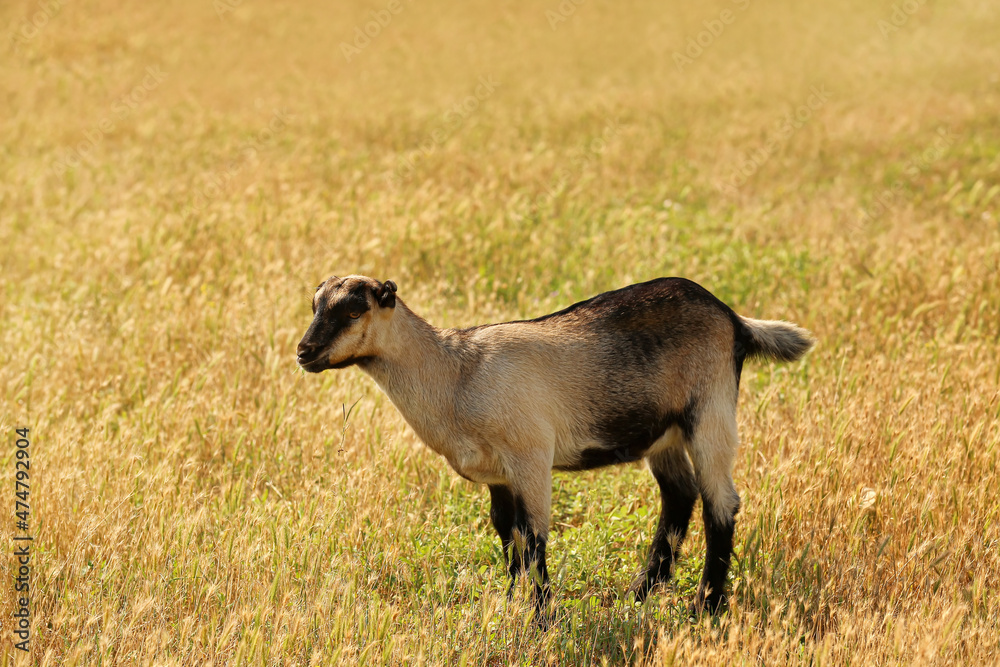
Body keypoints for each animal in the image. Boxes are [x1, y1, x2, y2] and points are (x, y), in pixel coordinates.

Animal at [296, 274, 812, 624]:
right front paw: (510, 606)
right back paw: (638, 595)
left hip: (710, 411)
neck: (457, 374)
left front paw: (542, 620)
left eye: (353, 311)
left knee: (720, 504)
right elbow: (508, 535)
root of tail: (733, 319)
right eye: (316, 305)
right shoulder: (499, 475)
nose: (304, 352)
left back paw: (706, 608)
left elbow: (534, 538)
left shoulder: (531, 457)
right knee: (679, 497)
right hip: (662, 434)